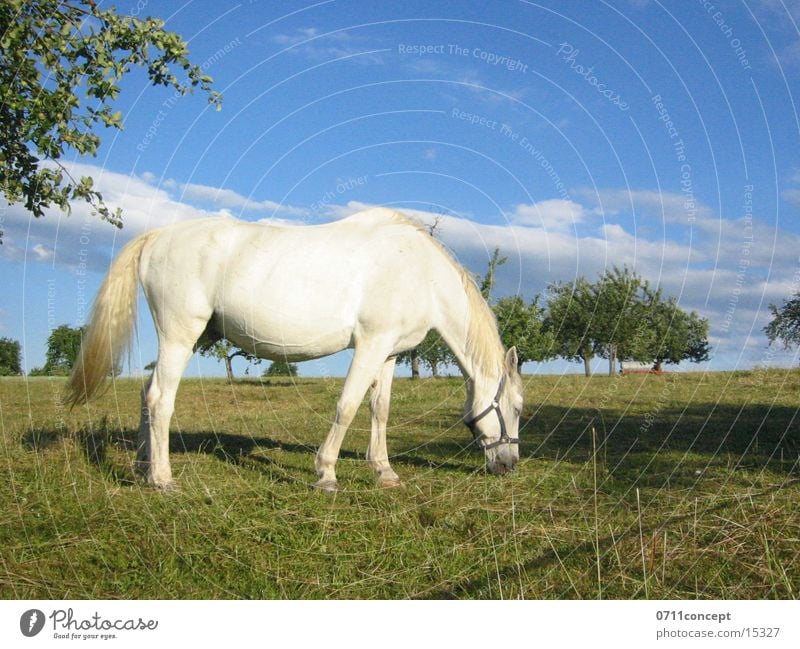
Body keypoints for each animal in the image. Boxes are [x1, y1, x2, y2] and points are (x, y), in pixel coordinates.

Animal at [65, 209, 520, 492]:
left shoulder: (389, 355)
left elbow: (380, 410)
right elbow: (347, 406)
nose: (509, 465)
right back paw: (162, 479)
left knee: (146, 393)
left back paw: (143, 470)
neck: (418, 270)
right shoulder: (370, 345)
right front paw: (326, 474)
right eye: (516, 408)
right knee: (161, 399)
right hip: (180, 336)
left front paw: (384, 472)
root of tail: (158, 236)